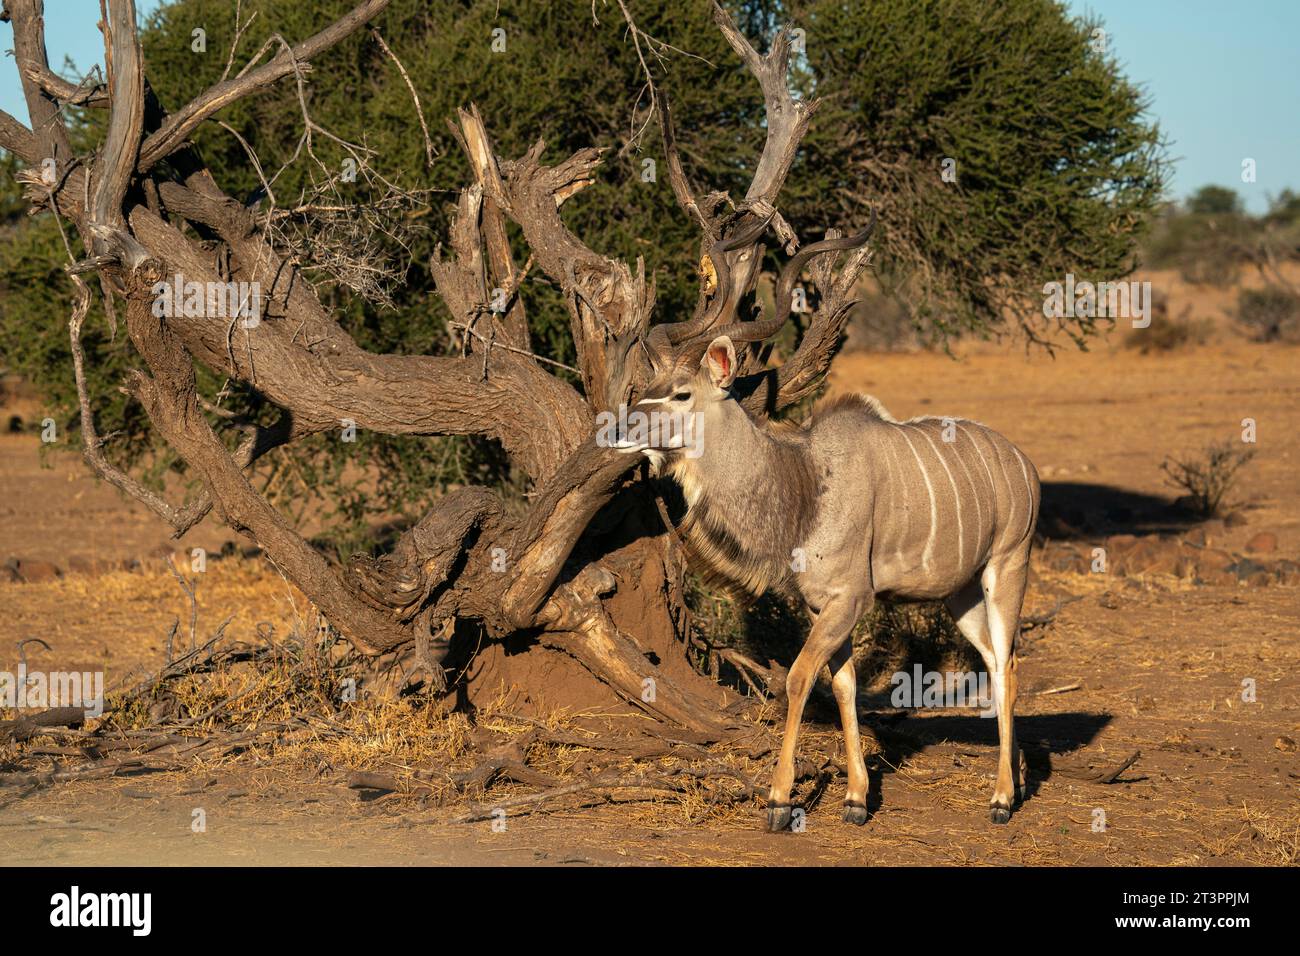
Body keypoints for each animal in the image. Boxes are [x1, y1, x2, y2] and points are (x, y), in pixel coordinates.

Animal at [613, 217, 1040, 832]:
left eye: (680, 392)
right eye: (648, 388)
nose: (618, 428)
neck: (804, 484)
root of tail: (1025, 465)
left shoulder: (849, 599)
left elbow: (796, 679)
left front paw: (778, 800)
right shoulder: (823, 606)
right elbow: (843, 684)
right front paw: (857, 799)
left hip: (1008, 567)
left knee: (1007, 664)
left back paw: (1003, 799)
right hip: (961, 594)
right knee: (995, 661)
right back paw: (1015, 784)